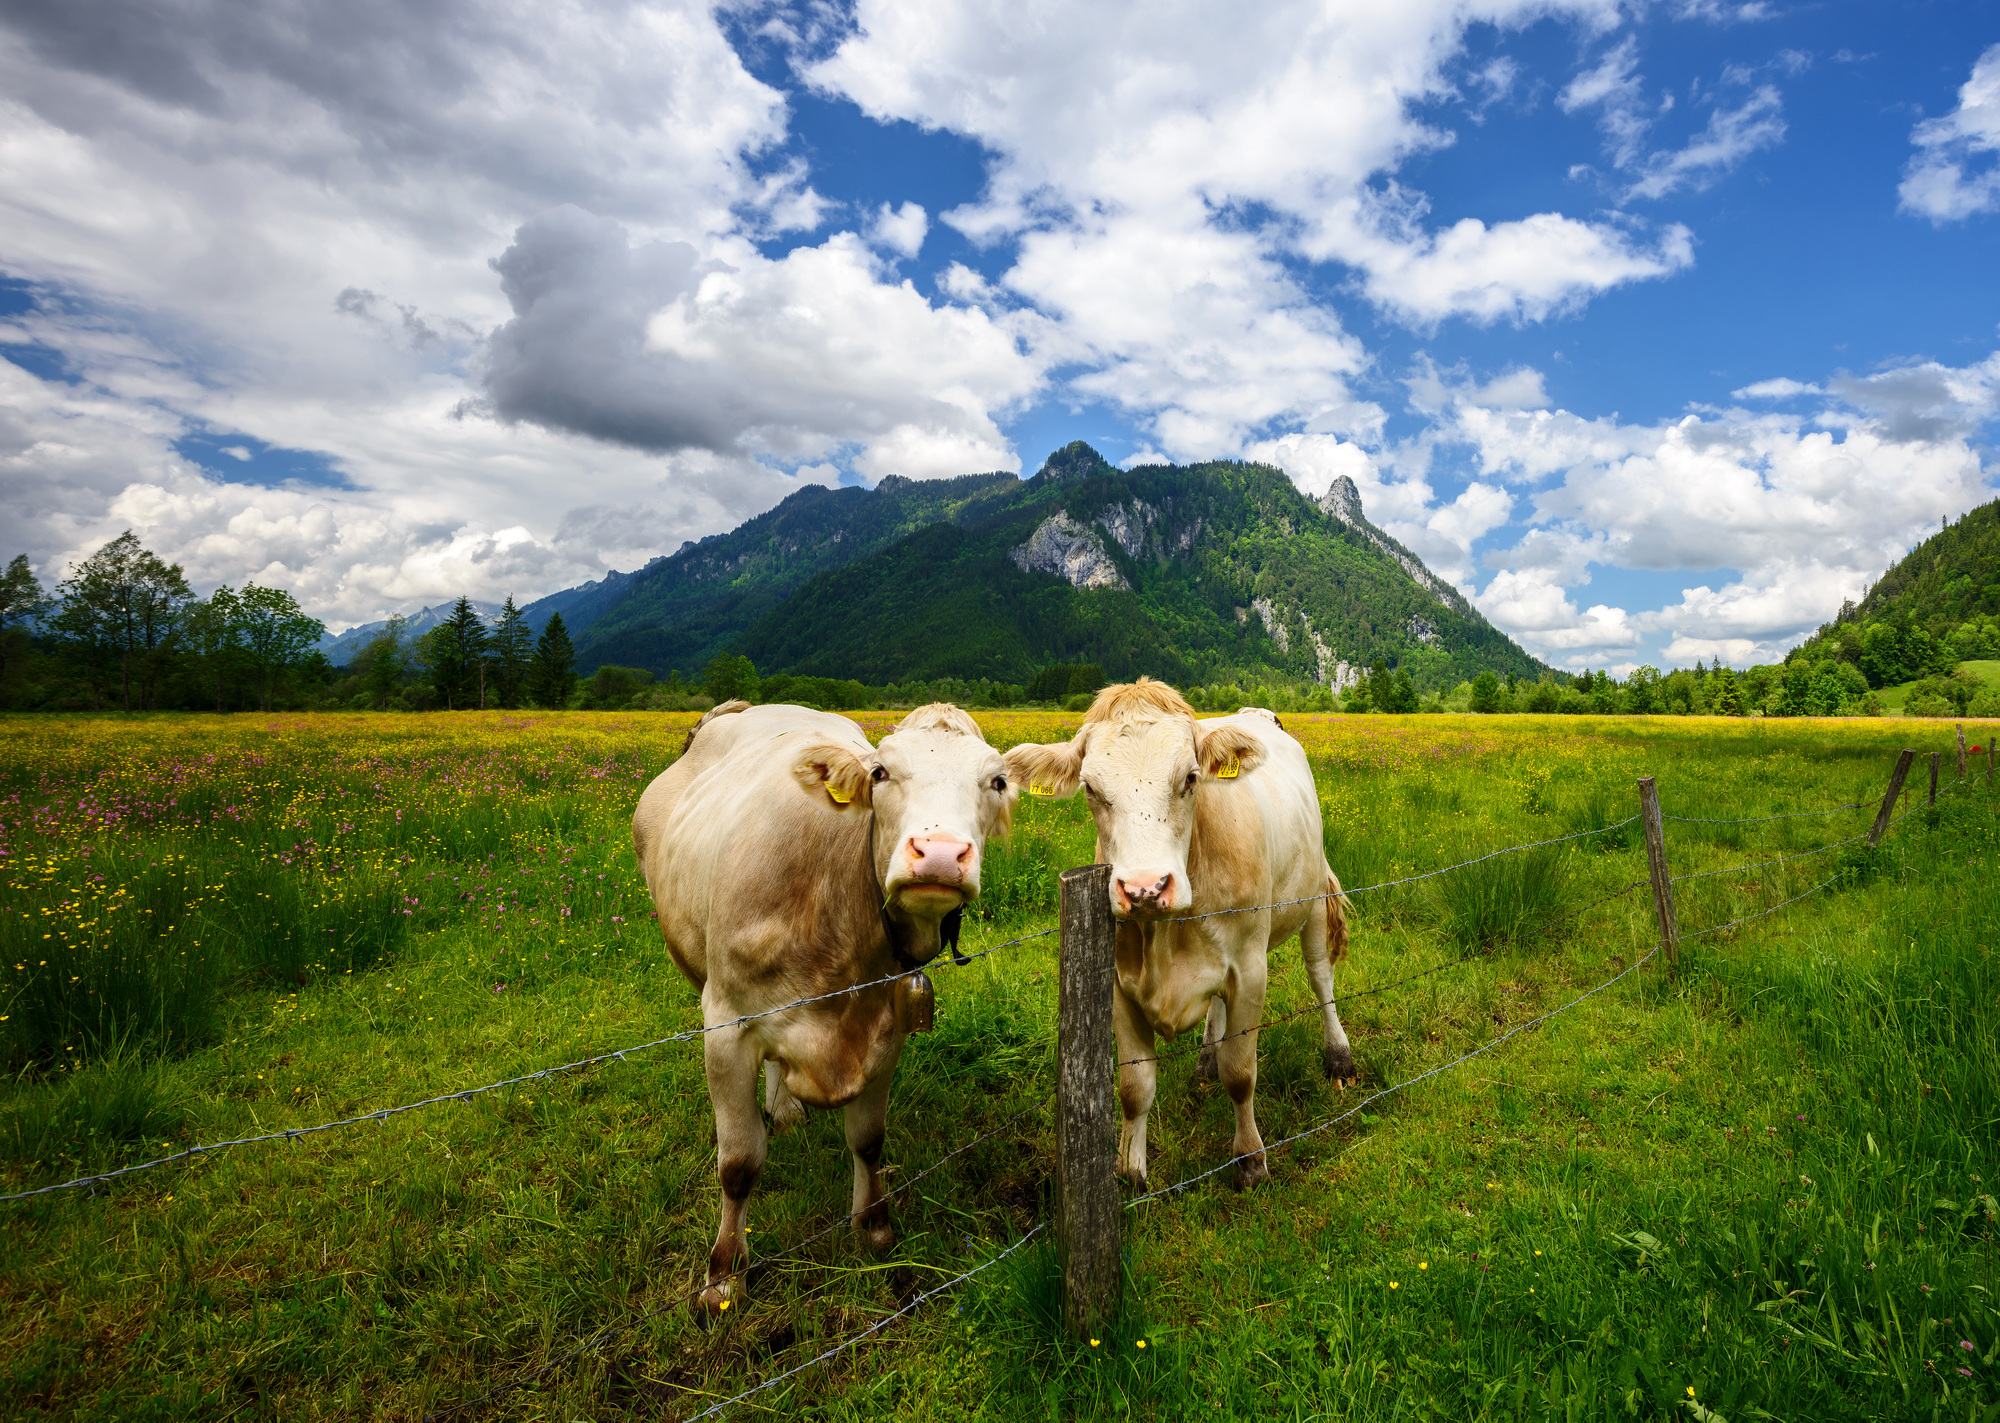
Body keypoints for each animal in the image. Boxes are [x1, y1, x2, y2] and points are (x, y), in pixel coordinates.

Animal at [632, 699, 1016, 1311]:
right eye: (880, 773)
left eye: (997, 781)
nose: (938, 855)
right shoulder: (725, 1027)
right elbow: (738, 1163)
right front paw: (723, 1277)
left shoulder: (887, 1029)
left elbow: (868, 1139)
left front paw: (874, 1227)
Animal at [1008, 679, 1352, 1191]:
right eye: (1090, 788)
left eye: (1190, 778)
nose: (1145, 888)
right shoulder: (1118, 985)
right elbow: (1135, 1087)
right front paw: (1130, 1171)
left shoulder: (1250, 970)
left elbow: (1241, 1072)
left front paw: (1250, 1160)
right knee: (1216, 1011)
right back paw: (1205, 1062)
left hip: (1310, 898)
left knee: (1320, 978)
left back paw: (1339, 1057)